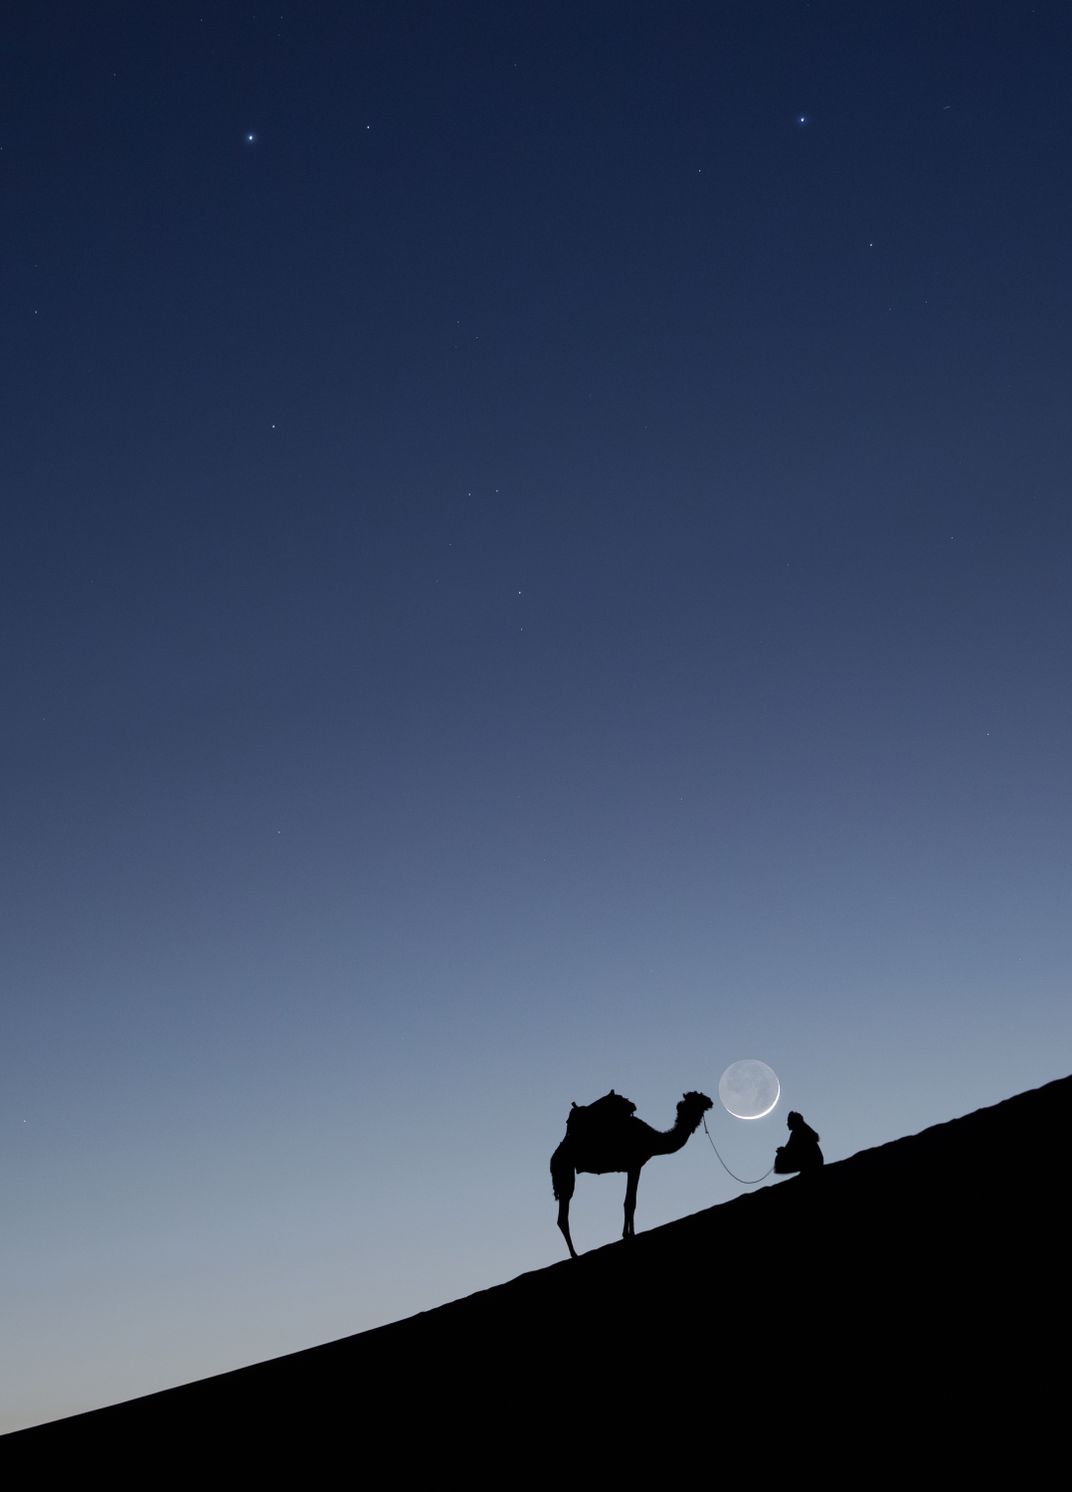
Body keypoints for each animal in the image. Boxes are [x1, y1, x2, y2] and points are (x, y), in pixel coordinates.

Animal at [550, 1089, 713, 1258]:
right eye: (697, 1099)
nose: (710, 1101)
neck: (653, 1139)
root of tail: (554, 1155)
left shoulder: (632, 1167)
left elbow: (630, 1201)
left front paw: (629, 1233)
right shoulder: (635, 1165)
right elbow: (630, 1202)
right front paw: (629, 1235)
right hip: (565, 1169)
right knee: (563, 1214)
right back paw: (574, 1254)